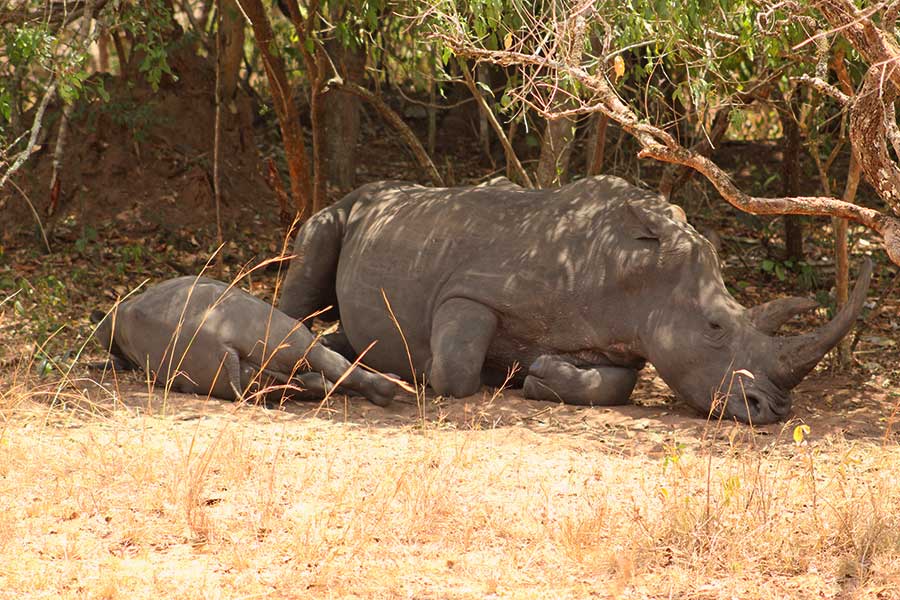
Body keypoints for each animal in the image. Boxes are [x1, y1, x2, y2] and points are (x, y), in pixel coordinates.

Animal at [278, 176, 872, 424]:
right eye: (714, 328)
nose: (774, 411)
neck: (635, 270)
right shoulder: (469, 290)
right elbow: (454, 372)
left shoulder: (622, 340)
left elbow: (615, 386)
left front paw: (538, 375)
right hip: (349, 208)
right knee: (312, 253)